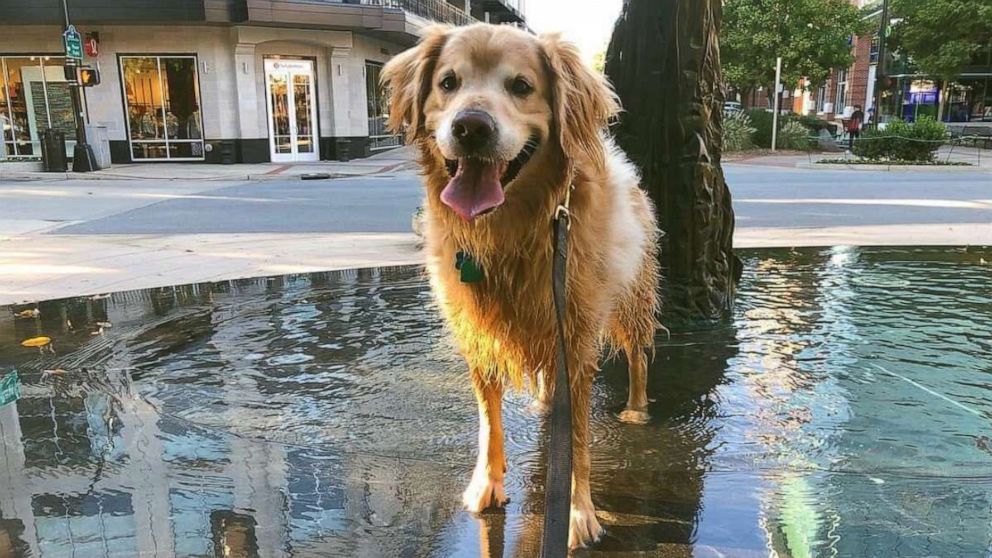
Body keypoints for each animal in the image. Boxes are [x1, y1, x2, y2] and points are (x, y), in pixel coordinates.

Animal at [384, 23, 664, 552]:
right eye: (448, 82)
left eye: (521, 86)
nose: (471, 127)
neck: (511, 230)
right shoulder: (478, 334)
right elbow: (488, 421)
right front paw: (486, 484)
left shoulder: (576, 339)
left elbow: (576, 439)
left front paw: (577, 512)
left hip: (630, 303)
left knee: (638, 357)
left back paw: (636, 410)